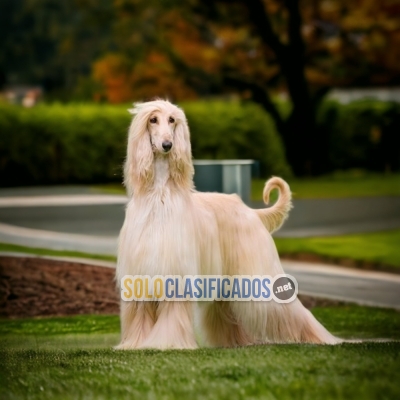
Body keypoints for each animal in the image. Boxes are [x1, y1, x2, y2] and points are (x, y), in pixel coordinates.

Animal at [115, 100, 338, 350]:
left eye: (172, 120)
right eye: (153, 120)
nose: (167, 145)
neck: (159, 196)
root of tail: (251, 212)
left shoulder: (176, 270)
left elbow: (172, 315)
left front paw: (167, 343)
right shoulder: (140, 271)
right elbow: (140, 315)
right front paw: (136, 344)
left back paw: (322, 338)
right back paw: (237, 342)